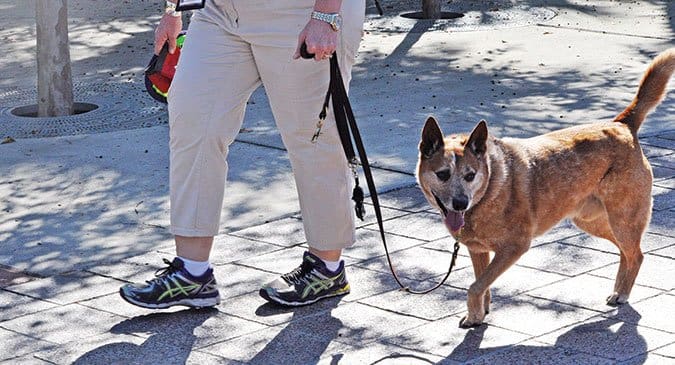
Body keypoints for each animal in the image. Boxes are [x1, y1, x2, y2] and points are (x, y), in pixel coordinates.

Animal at [414, 47, 672, 328]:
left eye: (470, 175)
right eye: (443, 174)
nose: (461, 203)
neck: (489, 189)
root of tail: (622, 124)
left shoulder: (514, 247)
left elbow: (475, 286)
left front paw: (474, 314)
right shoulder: (478, 250)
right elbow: (482, 284)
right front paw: (480, 313)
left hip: (623, 218)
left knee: (636, 253)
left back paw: (623, 293)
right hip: (593, 221)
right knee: (628, 252)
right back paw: (618, 289)